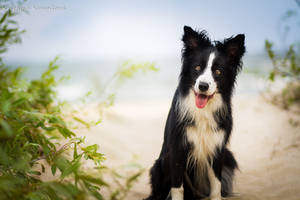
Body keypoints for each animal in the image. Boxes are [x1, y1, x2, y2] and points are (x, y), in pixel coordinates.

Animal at [145, 25, 246, 199]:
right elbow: (177, 188)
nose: (203, 86)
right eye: (197, 68)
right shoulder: (178, 149)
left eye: (218, 72)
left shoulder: (217, 149)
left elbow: (216, 185)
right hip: (160, 164)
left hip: (228, 157)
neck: (203, 111)